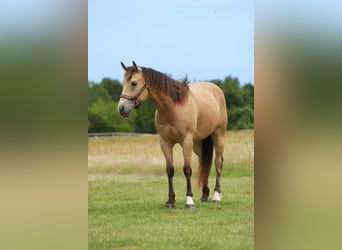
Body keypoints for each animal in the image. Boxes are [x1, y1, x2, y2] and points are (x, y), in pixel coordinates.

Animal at [117, 61, 227, 209]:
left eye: (133, 83)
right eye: (123, 83)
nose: (122, 109)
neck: (173, 108)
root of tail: (216, 89)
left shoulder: (186, 141)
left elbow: (187, 169)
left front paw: (189, 201)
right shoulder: (165, 142)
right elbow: (170, 170)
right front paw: (170, 201)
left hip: (218, 135)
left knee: (217, 162)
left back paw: (216, 195)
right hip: (198, 143)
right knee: (204, 163)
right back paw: (204, 195)